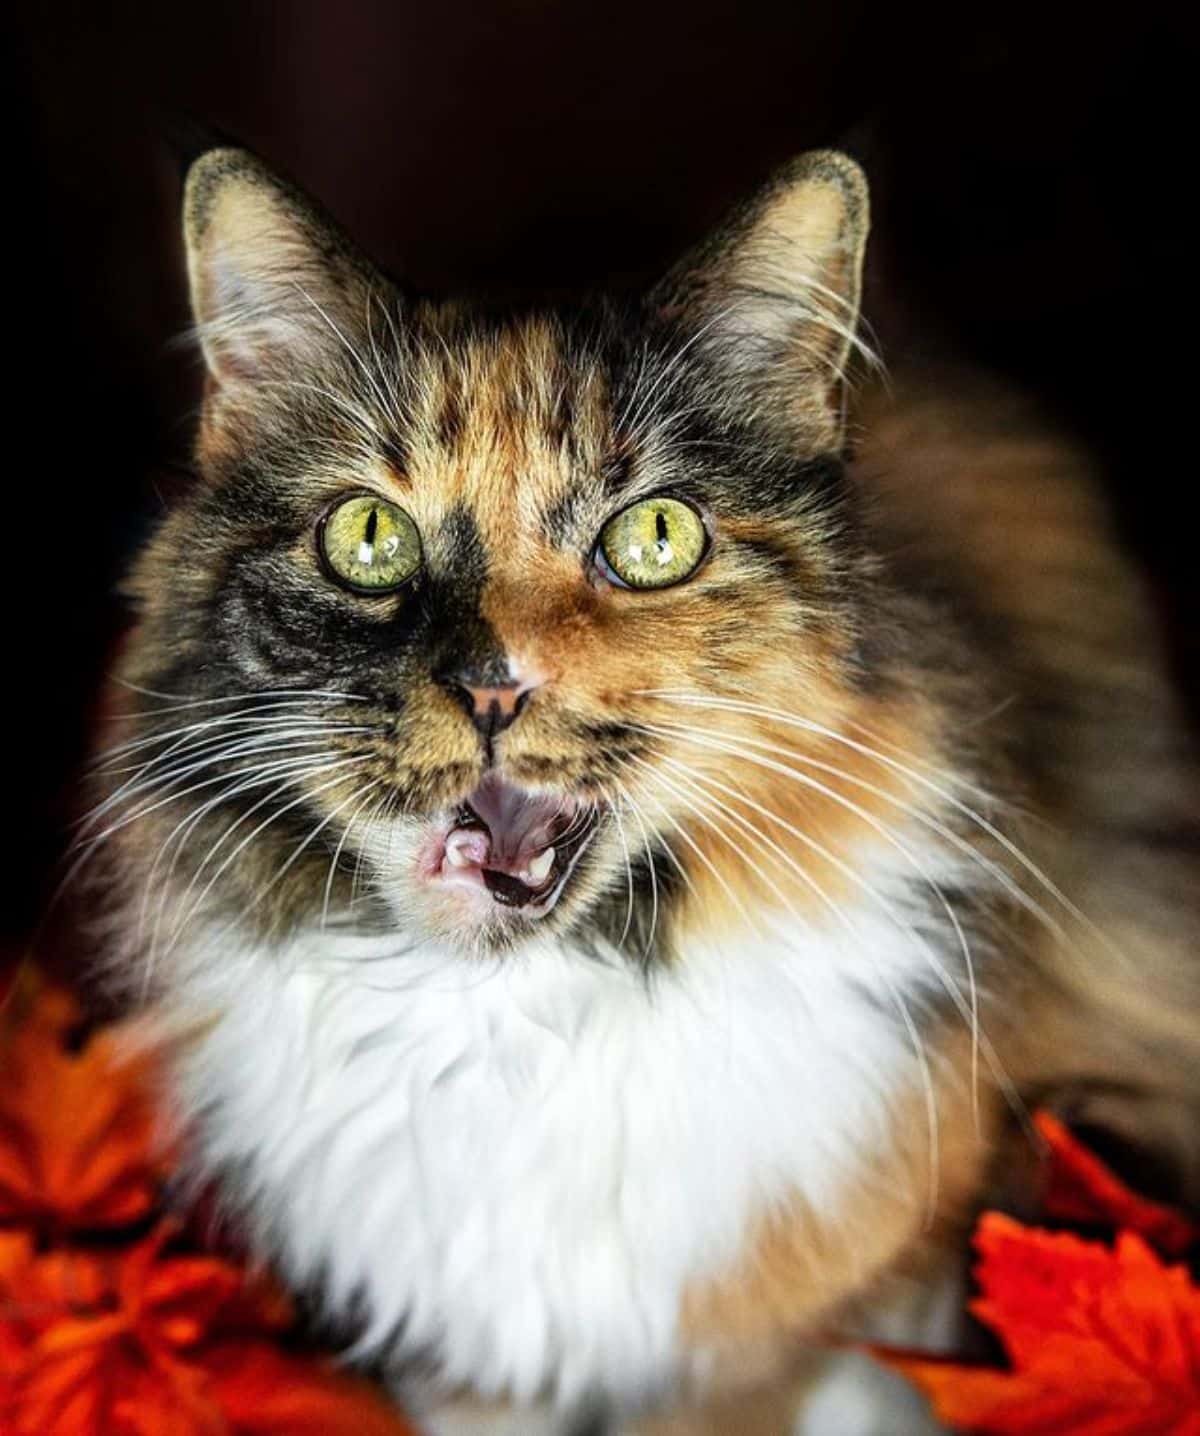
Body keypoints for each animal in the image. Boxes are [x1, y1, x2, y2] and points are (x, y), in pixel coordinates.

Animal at [88, 137, 1200, 1436]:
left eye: (655, 537)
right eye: (368, 537)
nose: (493, 687)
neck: (512, 1031)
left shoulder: (766, 1352)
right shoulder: (463, 1368)